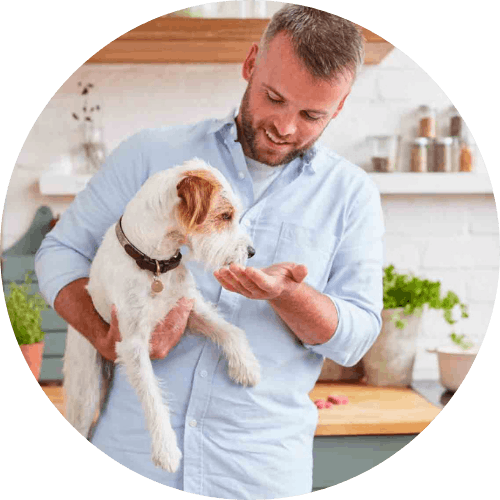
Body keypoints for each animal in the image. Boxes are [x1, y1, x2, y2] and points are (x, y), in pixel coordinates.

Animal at [62, 158, 262, 470]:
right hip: (85, 391)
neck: (155, 264)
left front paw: (246, 366)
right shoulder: (133, 343)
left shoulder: (189, 307)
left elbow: (229, 330)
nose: (251, 252)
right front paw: (166, 449)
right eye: (225, 215)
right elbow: (152, 397)